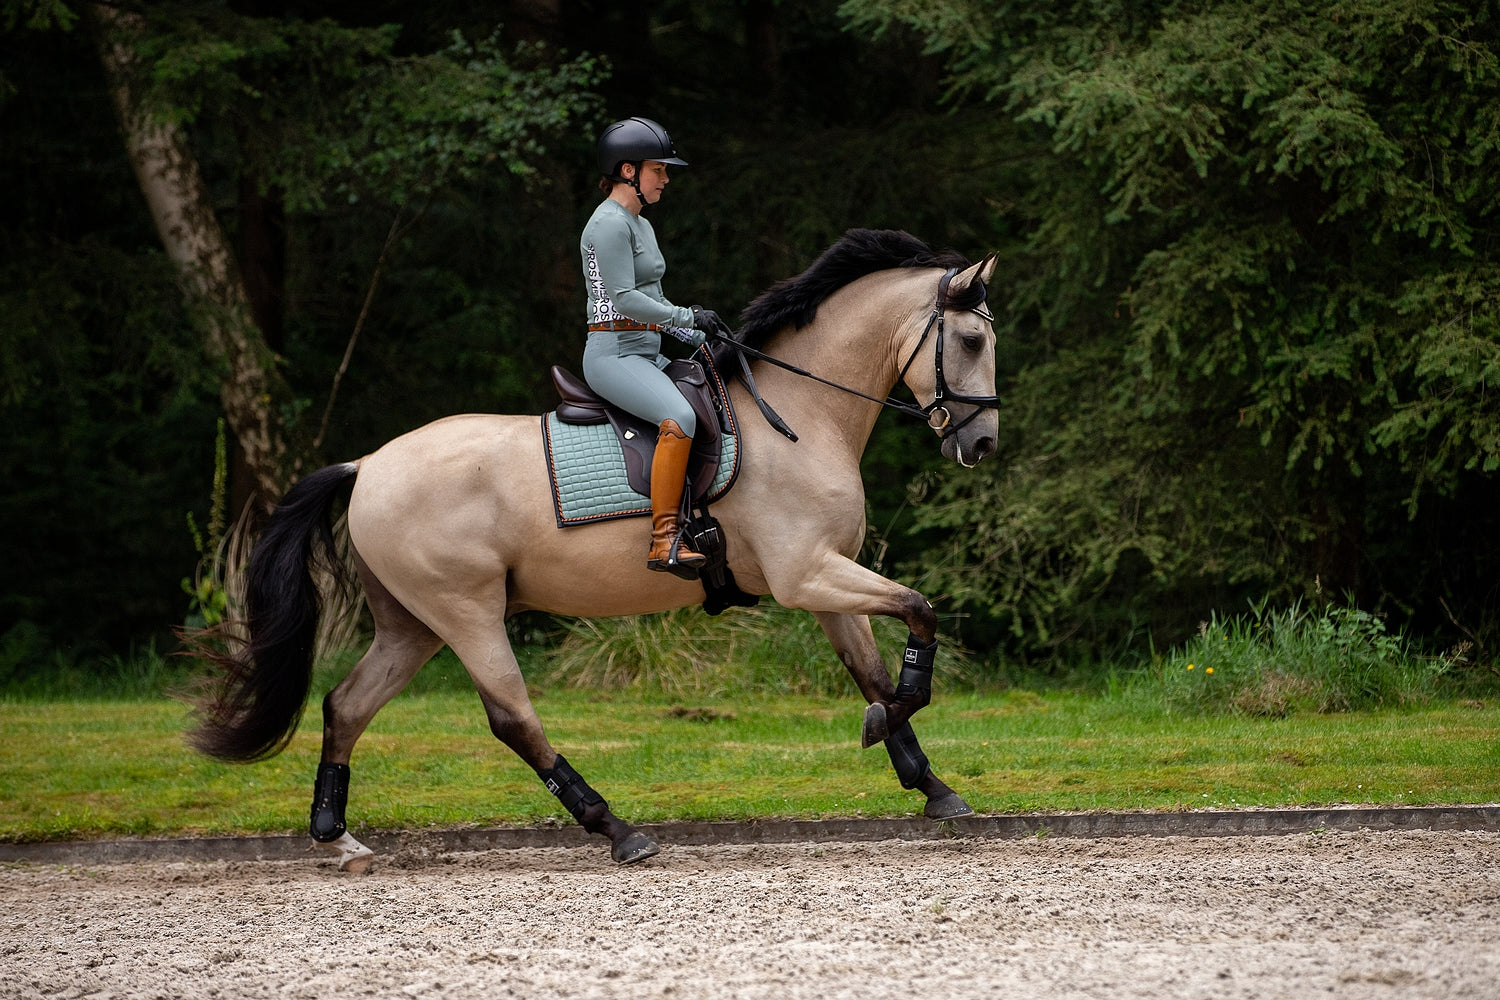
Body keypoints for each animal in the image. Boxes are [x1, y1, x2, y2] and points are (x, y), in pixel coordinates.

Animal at [193, 226, 1002, 869]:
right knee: (512, 719)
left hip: (410, 624)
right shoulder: (806, 575)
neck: (798, 416)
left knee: (347, 705)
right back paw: (617, 829)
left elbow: (873, 672)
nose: (982, 444)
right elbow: (920, 615)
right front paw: (897, 731)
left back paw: (337, 836)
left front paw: (931, 784)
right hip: (464, 612)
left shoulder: (826, 579)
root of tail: (366, 466)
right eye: (970, 340)